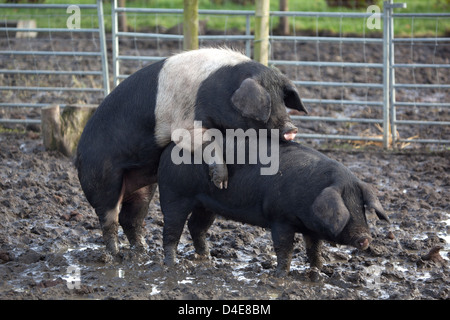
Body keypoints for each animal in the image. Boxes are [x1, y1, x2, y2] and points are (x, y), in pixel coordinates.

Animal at [75, 47, 308, 256]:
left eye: (282, 102)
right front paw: (221, 182)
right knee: (108, 216)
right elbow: (207, 140)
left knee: (131, 217)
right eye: (267, 106)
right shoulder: (185, 125)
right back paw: (115, 255)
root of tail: (77, 156)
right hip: (103, 178)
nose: (292, 129)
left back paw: (142, 250)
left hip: (143, 185)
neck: (219, 91)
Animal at [157, 141, 386, 278]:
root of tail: (168, 150)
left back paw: (207, 258)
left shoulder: (310, 229)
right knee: (171, 230)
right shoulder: (280, 219)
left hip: (206, 205)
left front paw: (319, 270)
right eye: (345, 208)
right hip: (174, 194)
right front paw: (281, 276)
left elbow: (314, 249)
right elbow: (285, 248)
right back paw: (172, 265)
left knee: (196, 227)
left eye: (361, 208)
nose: (366, 238)